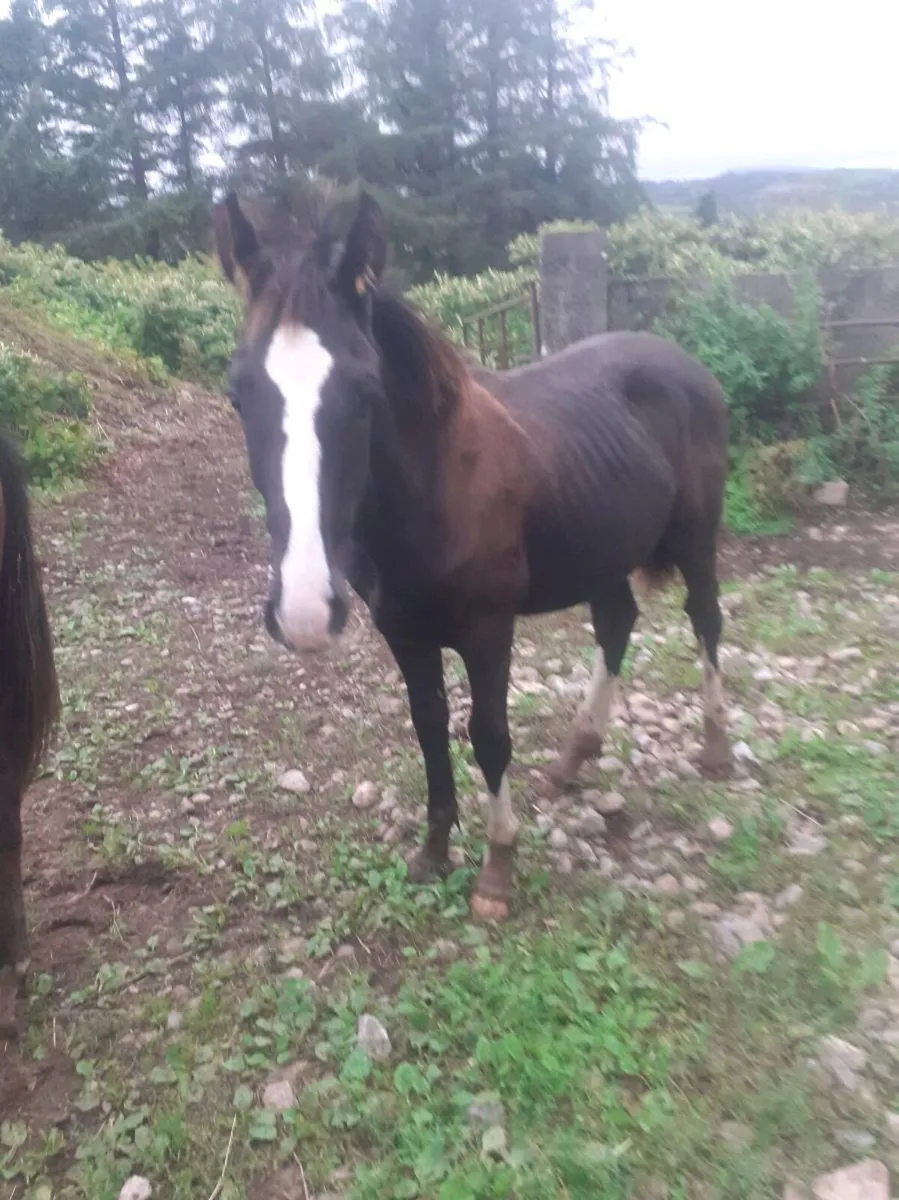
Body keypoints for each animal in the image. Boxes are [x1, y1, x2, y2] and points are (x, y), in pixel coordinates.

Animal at [212, 188, 732, 921]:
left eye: (365, 392)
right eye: (238, 394)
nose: (305, 613)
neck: (435, 489)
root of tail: (683, 363)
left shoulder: (489, 631)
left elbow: (487, 734)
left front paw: (497, 868)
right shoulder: (403, 631)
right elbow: (429, 726)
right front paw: (434, 850)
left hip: (695, 536)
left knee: (705, 619)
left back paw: (714, 747)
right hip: (601, 545)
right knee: (616, 623)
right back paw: (573, 756)